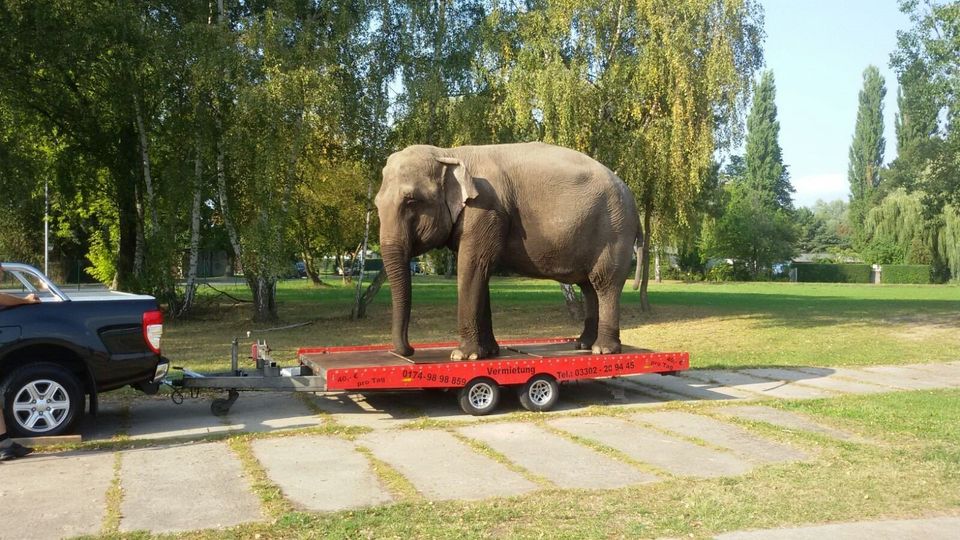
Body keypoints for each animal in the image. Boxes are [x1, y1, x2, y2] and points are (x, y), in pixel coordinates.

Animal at [376, 141, 636, 360]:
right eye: (376, 204)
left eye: (411, 200)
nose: (409, 350)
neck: (449, 153)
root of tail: (628, 191)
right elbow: (481, 272)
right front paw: (489, 352)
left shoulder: (485, 210)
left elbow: (471, 267)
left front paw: (463, 356)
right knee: (589, 286)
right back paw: (583, 344)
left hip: (614, 232)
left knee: (604, 282)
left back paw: (603, 350)